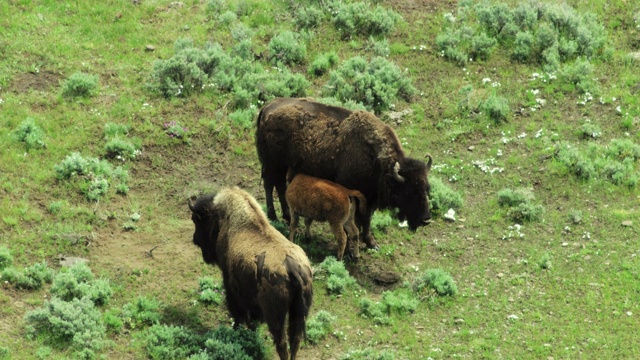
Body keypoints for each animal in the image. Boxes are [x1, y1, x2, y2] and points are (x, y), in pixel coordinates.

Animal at [189, 187, 314, 358]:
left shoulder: (231, 285)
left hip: (275, 314)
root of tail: (293, 269)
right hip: (298, 313)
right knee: (295, 341)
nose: (195, 239)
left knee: (281, 342)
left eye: (197, 220)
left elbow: (237, 312)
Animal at [256, 97, 436, 249]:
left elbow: (367, 219)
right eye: (409, 191)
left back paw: (286, 216)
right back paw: (273, 216)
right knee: (270, 185)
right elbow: (357, 219)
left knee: (279, 185)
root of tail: (267, 107)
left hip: (282, 165)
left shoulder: (370, 198)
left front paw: (371, 243)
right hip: (273, 163)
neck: (377, 161)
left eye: (426, 188)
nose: (426, 219)